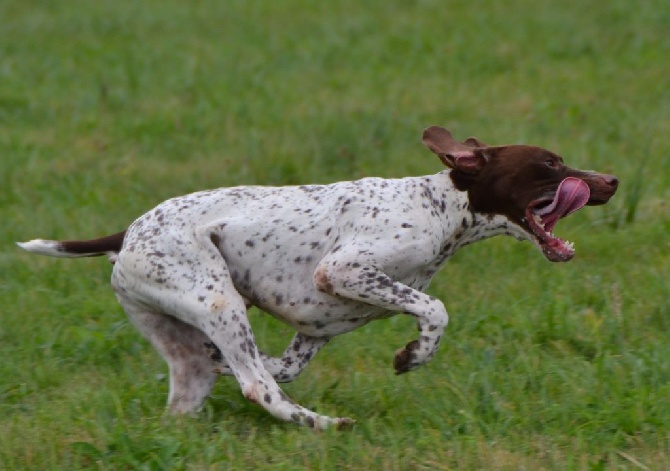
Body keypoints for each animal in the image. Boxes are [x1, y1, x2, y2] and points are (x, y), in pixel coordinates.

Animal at [18, 127, 620, 430]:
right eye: (550, 164)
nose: (612, 180)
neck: (442, 206)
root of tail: (129, 232)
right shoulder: (344, 270)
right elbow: (435, 310)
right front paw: (413, 355)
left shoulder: (314, 331)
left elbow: (283, 364)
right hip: (219, 302)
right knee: (259, 389)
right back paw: (324, 425)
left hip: (185, 340)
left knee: (215, 378)